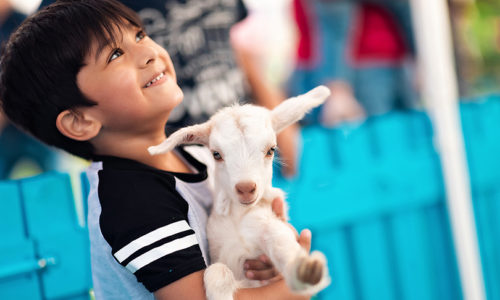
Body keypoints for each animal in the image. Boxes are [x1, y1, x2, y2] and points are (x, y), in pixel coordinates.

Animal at [147, 85, 332, 298]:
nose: (245, 188)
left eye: (271, 150)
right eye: (216, 154)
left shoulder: (264, 225)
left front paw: (305, 271)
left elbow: (280, 241)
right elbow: (217, 270)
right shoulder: (218, 249)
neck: (238, 219)